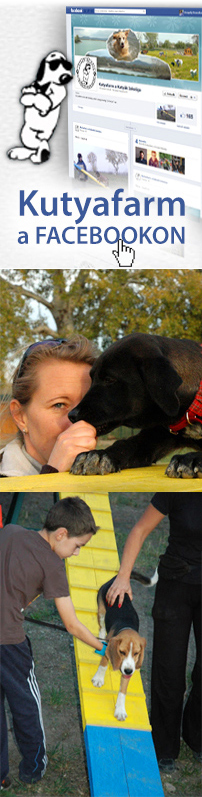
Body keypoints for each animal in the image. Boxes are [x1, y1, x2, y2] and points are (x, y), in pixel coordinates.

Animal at [68, 332, 202, 478]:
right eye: (92, 379)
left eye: (109, 379)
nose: (71, 415)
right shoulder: (155, 437)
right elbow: (126, 443)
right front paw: (100, 454)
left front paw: (190, 459)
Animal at [92, 576, 147, 720]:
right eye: (122, 652)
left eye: (137, 653)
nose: (128, 671)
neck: (126, 625)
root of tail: (113, 579)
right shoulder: (108, 650)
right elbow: (103, 665)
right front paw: (99, 679)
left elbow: (123, 691)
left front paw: (120, 710)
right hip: (101, 611)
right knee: (102, 626)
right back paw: (101, 637)